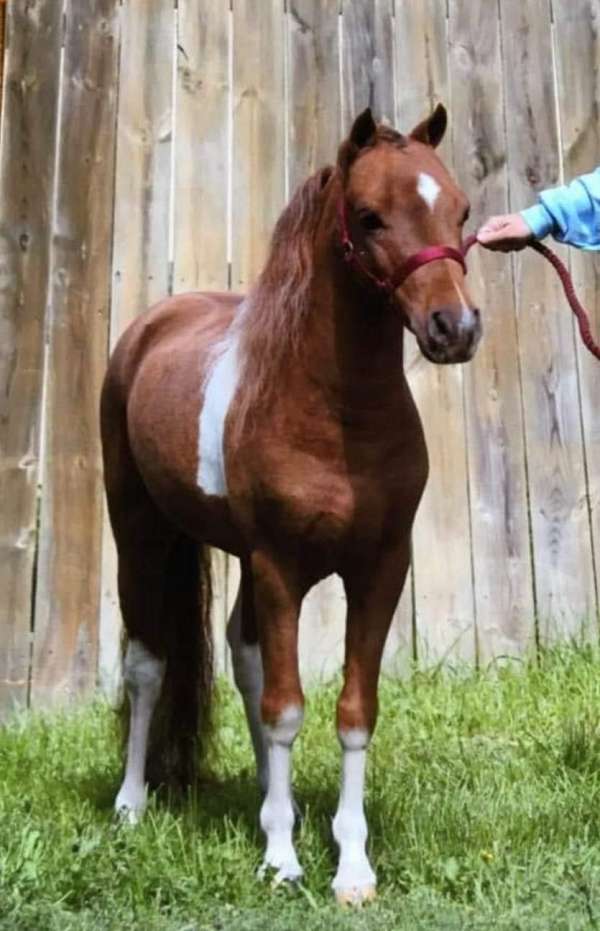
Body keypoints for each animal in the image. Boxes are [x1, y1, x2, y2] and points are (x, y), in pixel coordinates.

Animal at [101, 105, 480, 908]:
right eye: (369, 216)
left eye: (461, 210)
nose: (455, 329)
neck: (335, 415)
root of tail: (151, 327)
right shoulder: (281, 566)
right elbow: (285, 709)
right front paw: (281, 861)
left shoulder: (378, 570)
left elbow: (350, 711)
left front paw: (351, 866)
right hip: (141, 533)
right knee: (148, 664)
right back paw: (131, 805)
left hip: (241, 561)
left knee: (244, 657)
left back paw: (269, 803)